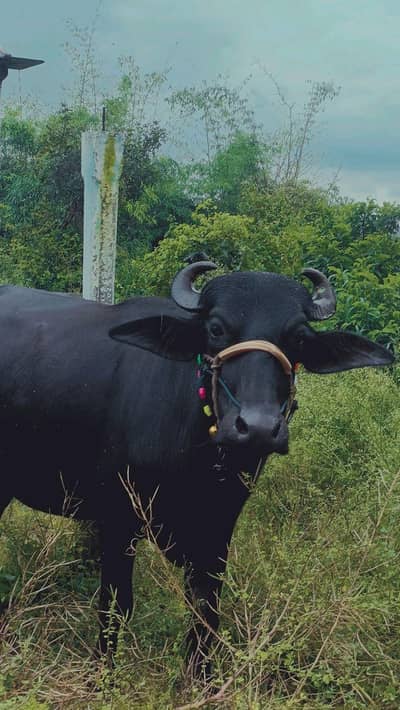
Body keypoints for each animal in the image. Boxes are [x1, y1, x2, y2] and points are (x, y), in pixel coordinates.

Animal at [0, 262, 394, 676]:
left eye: (299, 337)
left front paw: (200, 673)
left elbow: (206, 607)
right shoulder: (120, 518)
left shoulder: (220, 524)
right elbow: (116, 604)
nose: (257, 427)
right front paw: (104, 670)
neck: (199, 456)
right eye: (216, 328)